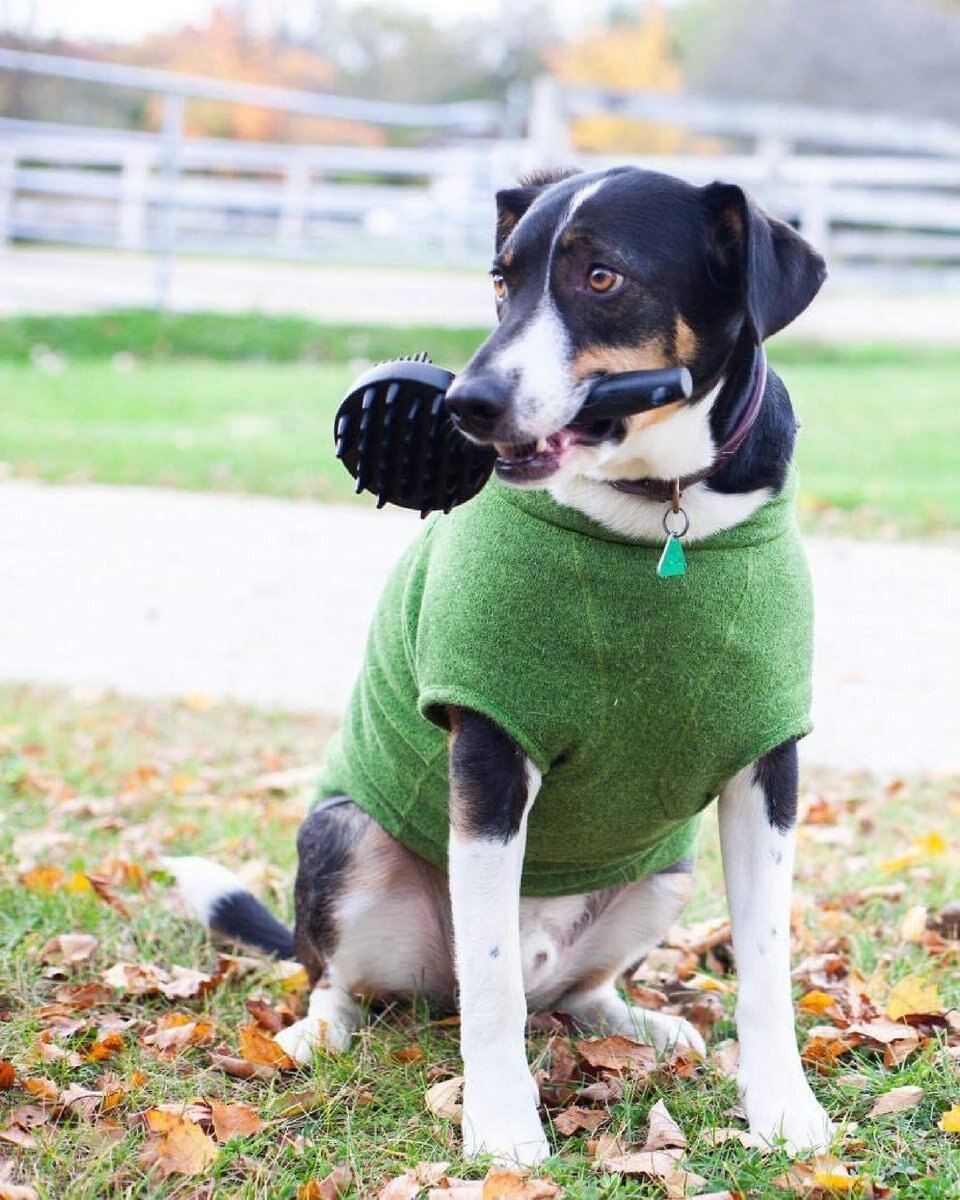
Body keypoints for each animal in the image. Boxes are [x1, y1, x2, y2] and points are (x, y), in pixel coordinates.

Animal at [169, 164, 835, 1166]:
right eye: (500, 281)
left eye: (601, 277)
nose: (465, 405)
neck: (657, 513)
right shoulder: (487, 751)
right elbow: (489, 985)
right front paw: (501, 1126)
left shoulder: (768, 767)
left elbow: (765, 959)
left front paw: (783, 1107)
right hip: (348, 839)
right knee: (346, 976)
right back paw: (316, 1030)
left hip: (666, 873)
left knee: (573, 994)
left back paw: (640, 1024)